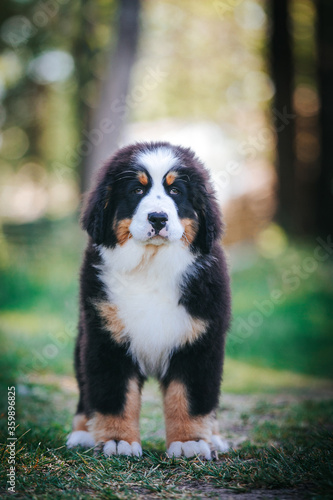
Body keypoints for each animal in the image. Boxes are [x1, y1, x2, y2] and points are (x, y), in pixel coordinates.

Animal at [66, 142, 230, 460]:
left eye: (175, 191)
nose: (158, 218)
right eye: (136, 190)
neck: (151, 266)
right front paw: (118, 441)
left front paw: (191, 442)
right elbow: (115, 395)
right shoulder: (106, 339)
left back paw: (214, 437)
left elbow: (189, 397)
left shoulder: (200, 340)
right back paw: (82, 433)